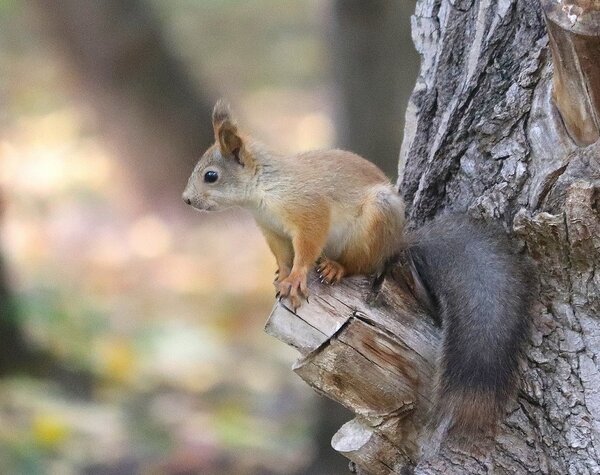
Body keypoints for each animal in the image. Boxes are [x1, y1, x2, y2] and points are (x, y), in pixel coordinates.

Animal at [180, 99, 532, 450]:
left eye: (210, 176)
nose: (186, 200)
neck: (263, 192)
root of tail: (397, 242)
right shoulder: (272, 232)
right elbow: (283, 256)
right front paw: (282, 277)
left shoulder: (308, 212)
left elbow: (307, 247)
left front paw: (296, 278)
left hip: (374, 223)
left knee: (364, 265)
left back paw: (337, 267)